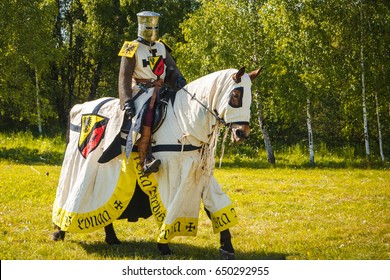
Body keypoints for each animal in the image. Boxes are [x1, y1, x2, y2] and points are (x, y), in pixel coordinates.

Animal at [51, 65, 258, 258]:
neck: (185, 120)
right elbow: (170, 208)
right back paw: (59, 231)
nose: (242, 133)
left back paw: (111, 238)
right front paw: (164, 246)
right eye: (236, 95)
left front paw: (227, 247)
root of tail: (79, 108)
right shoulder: (172, 172)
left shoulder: (200, 172)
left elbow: (212, 204)